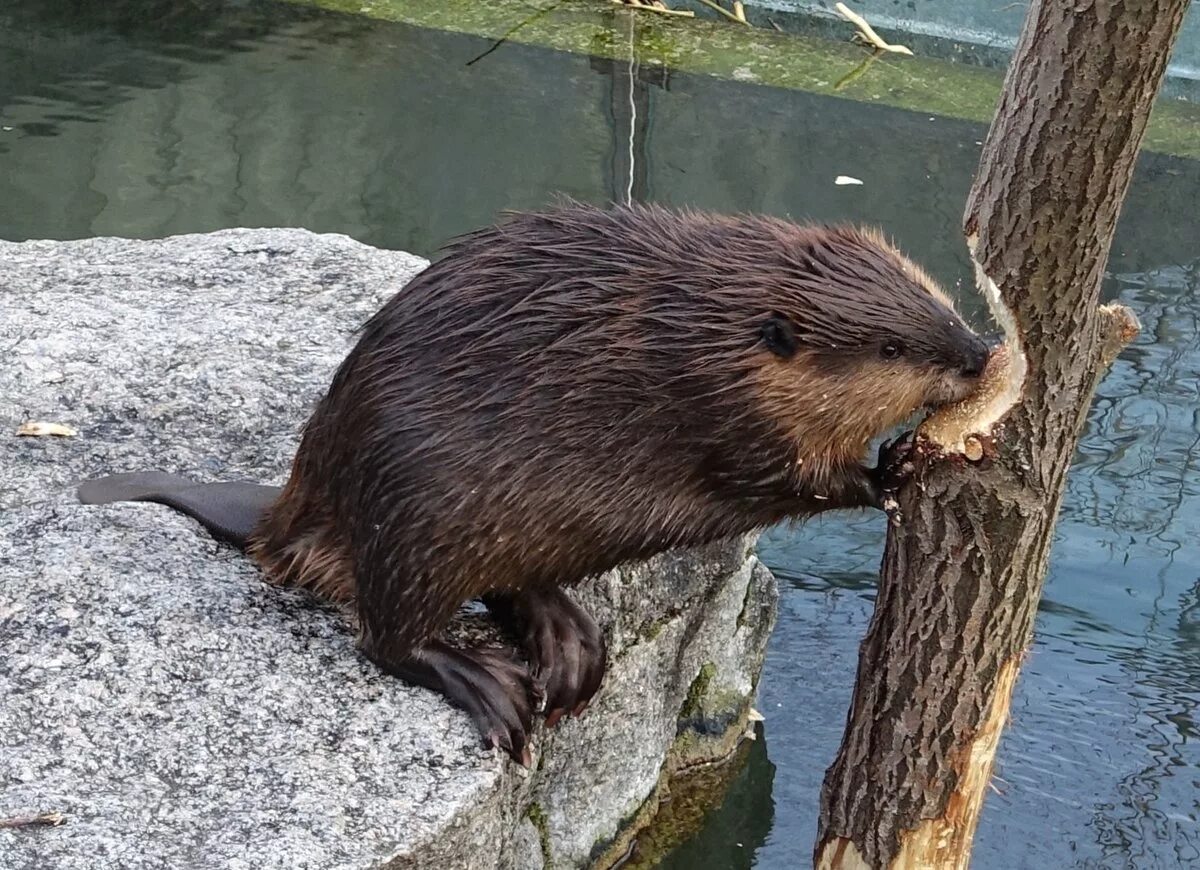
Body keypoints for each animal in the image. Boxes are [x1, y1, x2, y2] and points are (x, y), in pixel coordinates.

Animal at [79, 200, 988, 763]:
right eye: (890, 348)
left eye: (935, 299)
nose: (979, 353)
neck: (700, 327)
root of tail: (286, 514)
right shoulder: (718, 407)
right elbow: (781, 473)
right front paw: (894, 469)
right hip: (417, 521)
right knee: (386, 636)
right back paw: (491, 684)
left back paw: (571, 648)